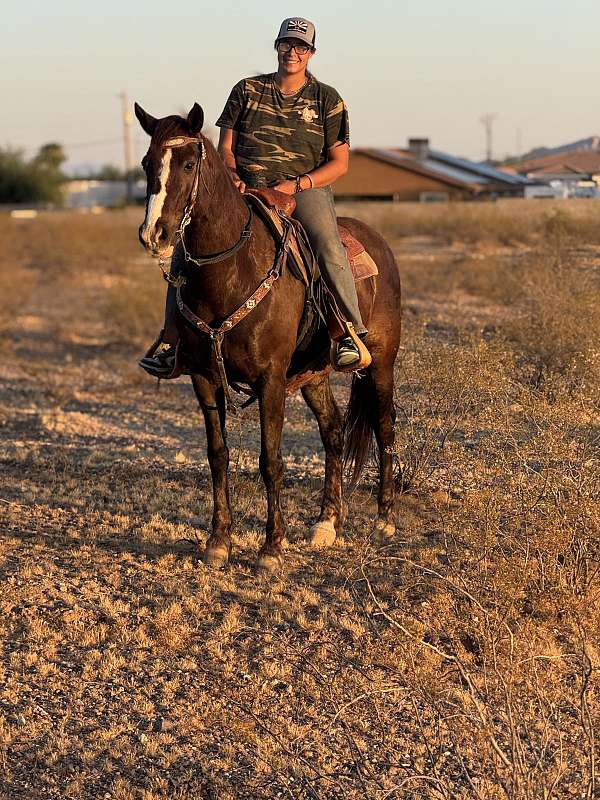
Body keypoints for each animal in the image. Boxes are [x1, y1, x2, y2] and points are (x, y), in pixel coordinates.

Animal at [134, 102, 401, 574]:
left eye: (188, 164)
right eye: (148, 163)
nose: (155, 235)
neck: (230, 270)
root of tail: (377, 243)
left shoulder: (270, 379)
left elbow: (270, 460)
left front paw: (272, 548)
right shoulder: (204, 378)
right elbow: (218, 455)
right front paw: (218, 541)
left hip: (381, 362)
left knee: (384, 427)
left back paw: (385, 521)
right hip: (314, 374)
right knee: (333, 431)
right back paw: (326, 524)